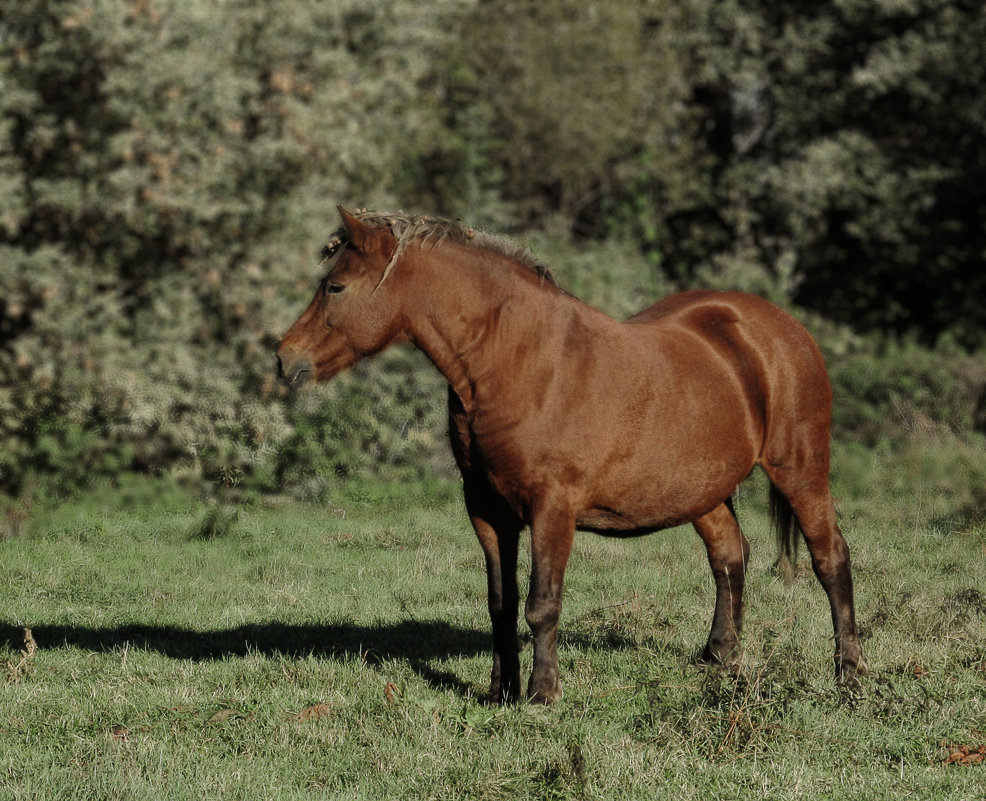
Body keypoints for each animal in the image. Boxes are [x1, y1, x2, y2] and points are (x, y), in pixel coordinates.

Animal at [272, 205, 864, 700]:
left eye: (336, 287)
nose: (284, 359)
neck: (516, 360)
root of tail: (781, 329)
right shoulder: (486, 510)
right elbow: (501, 604)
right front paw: (500, 690)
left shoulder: (551, 508)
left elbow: (541, 604)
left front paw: (541, 693)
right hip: (704, 490)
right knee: (729, 556)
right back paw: (721, 658)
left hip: (800, 470)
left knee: (830, 559)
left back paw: (849, 673)